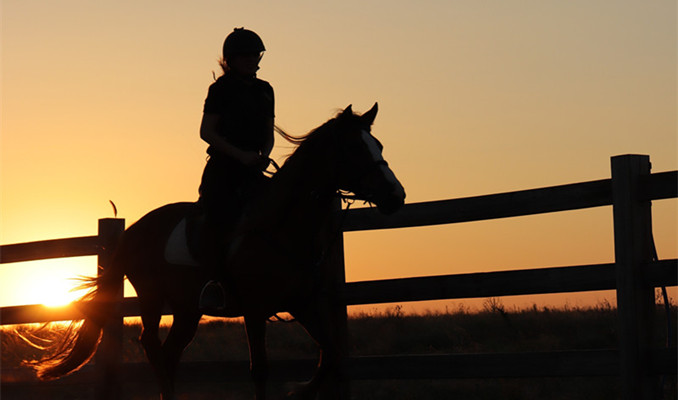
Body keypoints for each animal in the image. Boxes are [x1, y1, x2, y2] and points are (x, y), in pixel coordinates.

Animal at [30, 104, 404, 400]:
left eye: (379, 145)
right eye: (354, 149)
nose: (396, 196)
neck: (284, 227)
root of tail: (134, 230)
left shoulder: (304, 303)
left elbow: (331, 355)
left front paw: (298, 391)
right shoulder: (255, 309)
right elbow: (260, 369)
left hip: (187, 308)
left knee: (170, 353)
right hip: (152, 296)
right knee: (152, 346)